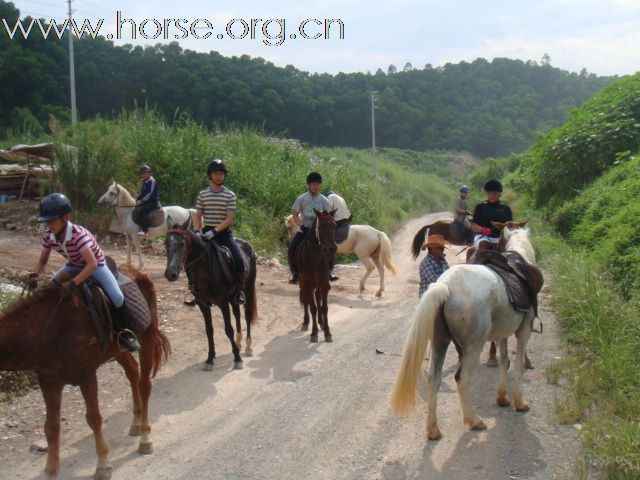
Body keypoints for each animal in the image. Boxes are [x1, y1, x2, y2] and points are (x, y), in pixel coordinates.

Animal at [0, 264, 170, 480]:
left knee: (144, 384)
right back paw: (135, 424)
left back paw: (145, 436)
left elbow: (94, 418)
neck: (47, 329)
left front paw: (103, 465)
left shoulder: (86, 374)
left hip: (147, 337)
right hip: (117, 348)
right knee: (133, 373)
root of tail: (136, 272)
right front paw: (50, 471)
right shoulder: (48, 380)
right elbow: (51, 426)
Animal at [164, 218, 258, 372]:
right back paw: (238, 343)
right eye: (166, 243)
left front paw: (237, 359)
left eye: (182, 244)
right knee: (237, 314)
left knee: (247, 315)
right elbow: (209, 331)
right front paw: (210, 359)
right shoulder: (203, 304)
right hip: (233, 296)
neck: (204, 268)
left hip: (248, 288)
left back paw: (248, 347)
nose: (170, 274)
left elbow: (228, 330)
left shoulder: (223, 303)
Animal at [294, 209, 338, 342]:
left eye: (334, 225)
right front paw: (314, 333)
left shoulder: (324, 284)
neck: (315, 256)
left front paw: (327, 332)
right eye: (322, 226)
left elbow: (324, 307)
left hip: (318, 285)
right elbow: (312, 307)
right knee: (306, 301)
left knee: (318, 300)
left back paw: (321, 323)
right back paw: (306, 322)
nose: (332, 248)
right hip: (303, 284)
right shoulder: (308, 284)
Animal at [390, 225, 540, 438]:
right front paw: (520, 402)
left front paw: (502, 398)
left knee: (433, 377)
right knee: (462, 379)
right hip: (473, 347)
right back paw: (474, 420)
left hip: (439, 341)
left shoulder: (503, 333)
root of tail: (445, 286)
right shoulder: (524, 330)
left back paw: (433, 429)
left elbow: (505, 362)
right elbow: (518, 364)